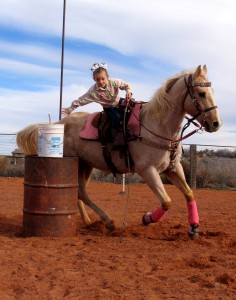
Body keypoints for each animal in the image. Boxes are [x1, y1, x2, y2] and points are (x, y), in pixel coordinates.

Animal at [17, 66, 221, 239]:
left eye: (212, 92)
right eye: (201, 93)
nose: (216, 123)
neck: (156, 126)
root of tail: (60, 123)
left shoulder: (173, 168)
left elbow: (189, 194)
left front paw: (194, 228)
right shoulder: (147, 170)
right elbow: (166, 201)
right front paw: (147, 218)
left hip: (85, 165)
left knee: (79, 193)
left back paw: (89, 222)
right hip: (76, 163)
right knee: (82, 193)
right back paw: (109, 222)